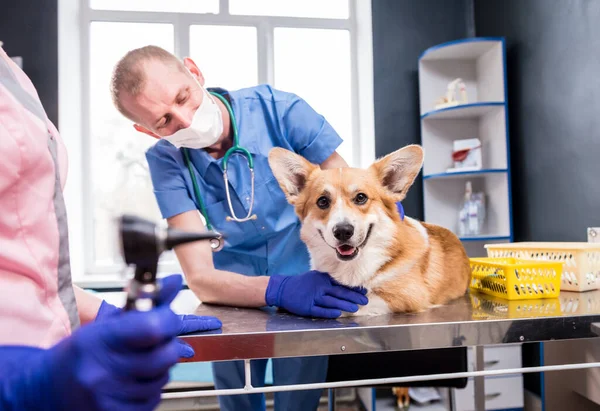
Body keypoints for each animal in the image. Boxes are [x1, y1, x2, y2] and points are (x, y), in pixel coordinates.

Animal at [270, 146, 472, 318]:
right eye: (322, 201)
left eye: (361, 197)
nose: (343, 231)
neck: (352, 267)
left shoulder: (409, 297)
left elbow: (360, 302)